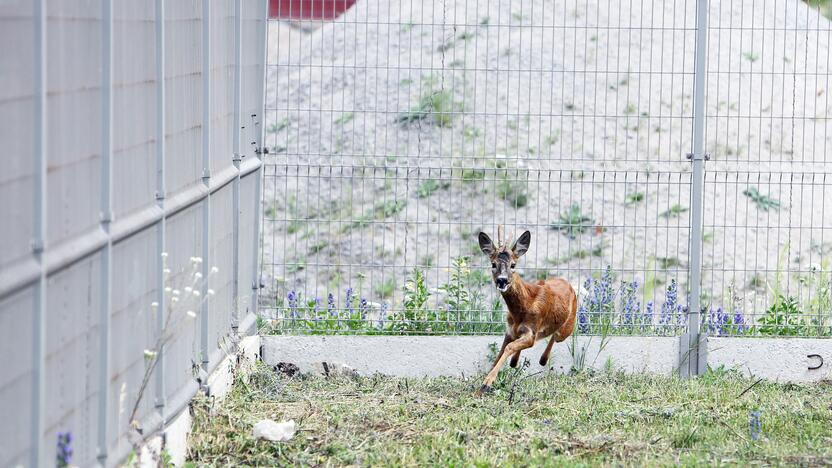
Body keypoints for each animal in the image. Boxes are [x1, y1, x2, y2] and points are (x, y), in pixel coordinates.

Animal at [478, 227, 576, 394]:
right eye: (493, 264)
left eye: (513, 265)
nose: (502, 280)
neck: (521, 310)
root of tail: (567, 283)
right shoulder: (510, 330)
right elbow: (501, 351)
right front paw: (483, 381)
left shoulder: (531, 331)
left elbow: (510, 347)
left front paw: (487, 383)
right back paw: (517, 361)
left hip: (567, 328)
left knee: (556, 335)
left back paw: (542, 359)